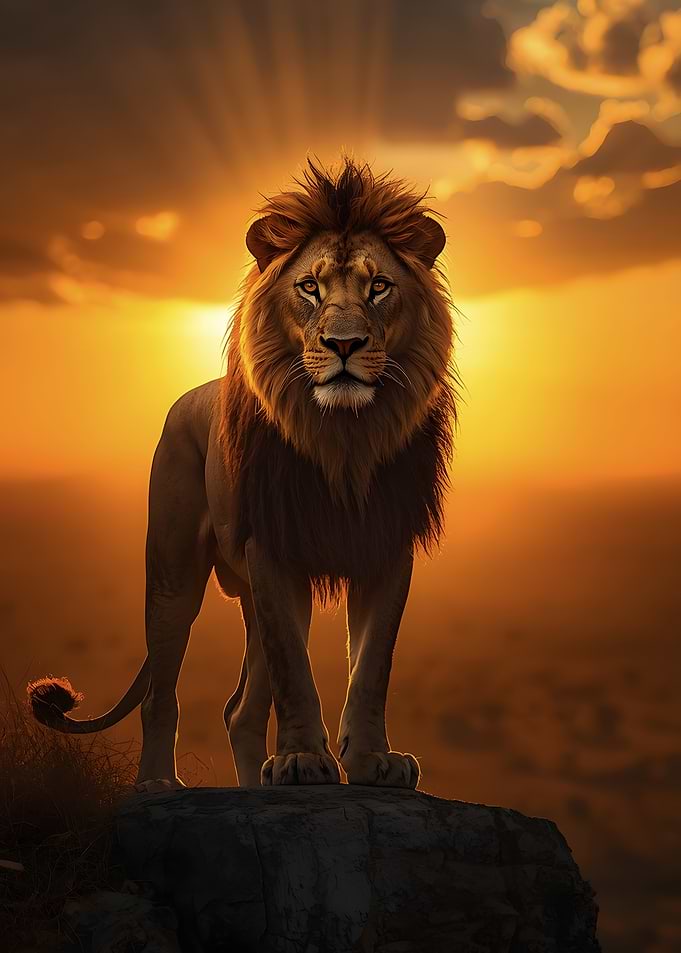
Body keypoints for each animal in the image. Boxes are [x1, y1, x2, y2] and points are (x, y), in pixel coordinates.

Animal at [27, 156, 456, 793]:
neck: (343, 438)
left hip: (249, 593)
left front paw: (372, 761)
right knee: (162, 691)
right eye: (310, 287)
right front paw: (302, 760)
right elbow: (295, 672)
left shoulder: (384, 546)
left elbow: (372, 666)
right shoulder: (272, 549)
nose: (345, 344)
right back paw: (157, 783)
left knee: (240, 711)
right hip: (175, 573)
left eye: (379, 287)